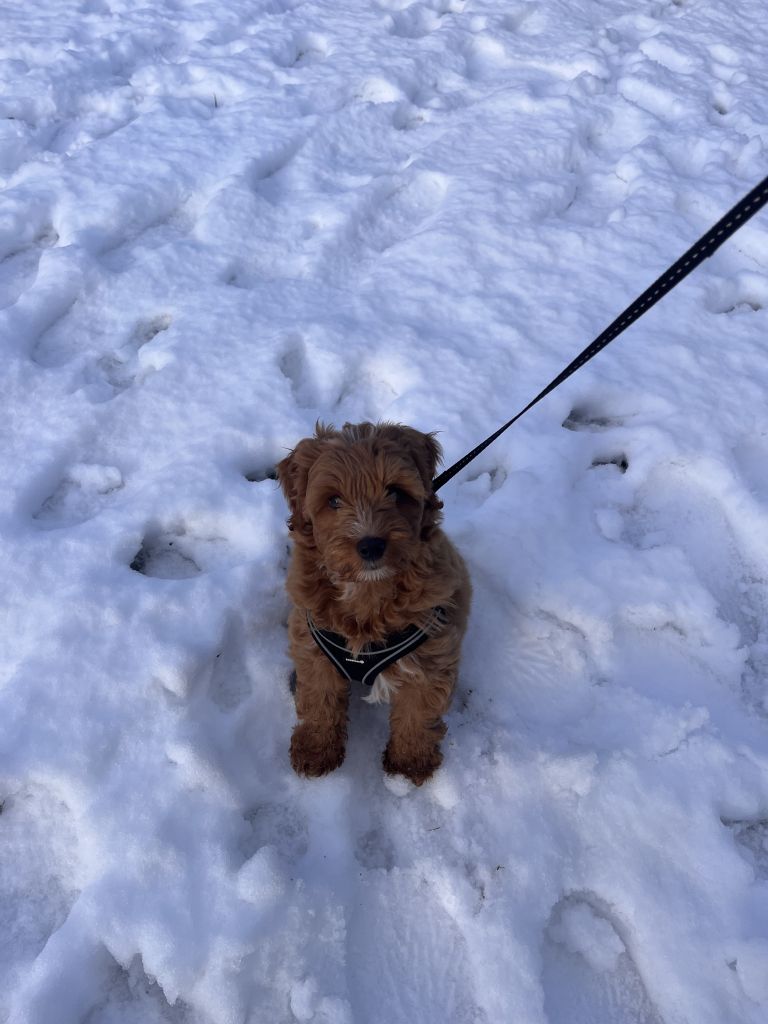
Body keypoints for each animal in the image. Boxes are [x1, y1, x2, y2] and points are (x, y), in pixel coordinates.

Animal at [277, 421, 471, 786]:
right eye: (333, 500)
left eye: (394, 492)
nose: (371, 545)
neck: (368, 592)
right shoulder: (313, 650)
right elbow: (319, 701)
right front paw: (315, 751)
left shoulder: (431, 658)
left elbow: (417, 713)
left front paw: (409, 764)